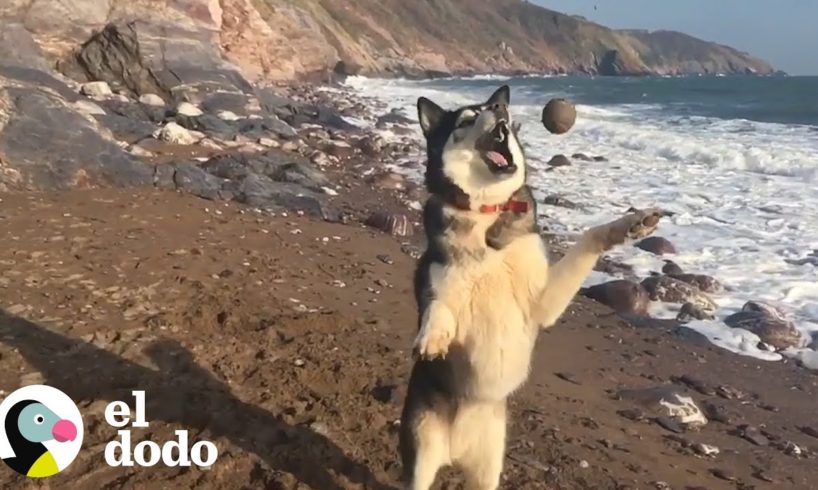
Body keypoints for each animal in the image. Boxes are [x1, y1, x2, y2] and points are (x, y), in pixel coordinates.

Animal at [396, 86, 664, 488]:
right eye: (466, 119)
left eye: (495, 108)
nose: (501, 112)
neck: (487, 212)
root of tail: (456, 449)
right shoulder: (433, 276)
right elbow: (438, 305)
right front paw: (433, 336)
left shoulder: (543, 303)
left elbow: (590, 236)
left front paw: (632, 224)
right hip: (422, 452)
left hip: (488, 466)